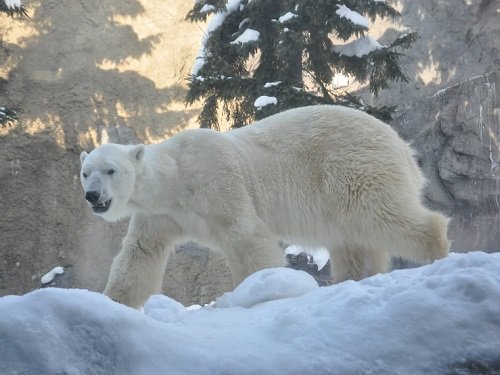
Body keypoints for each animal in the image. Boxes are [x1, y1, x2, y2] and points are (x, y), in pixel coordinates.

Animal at [81, 106, 450, 308]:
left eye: (110, 170)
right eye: (85, 173)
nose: (92, 196)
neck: (176, 176)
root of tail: (402, 145)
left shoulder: (216, 180)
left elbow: (244, 235)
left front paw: (263, 292)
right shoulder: (159, 213)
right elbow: (140, 253)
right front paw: (112, 302)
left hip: (353, 165)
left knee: (380, 213)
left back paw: (438, 250)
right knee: (353, 240)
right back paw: (350, 280)